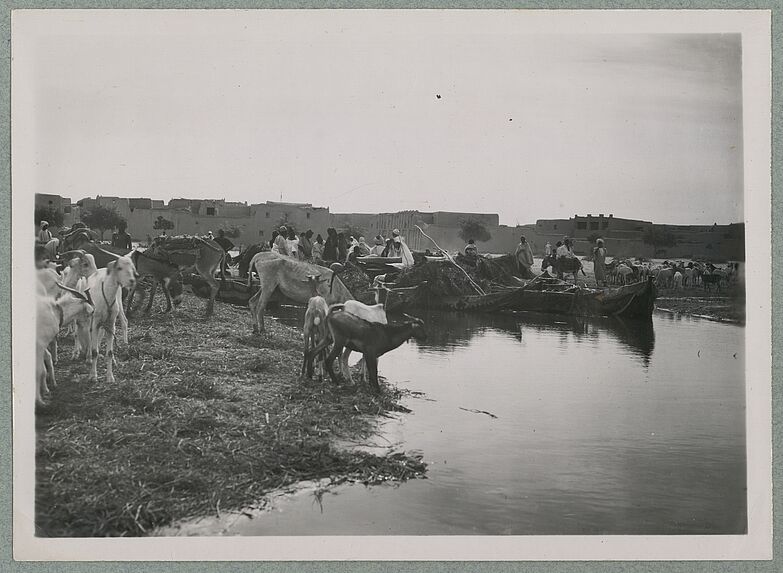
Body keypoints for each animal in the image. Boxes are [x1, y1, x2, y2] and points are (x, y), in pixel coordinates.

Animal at [86, 256, 138, 384]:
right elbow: (94, 351)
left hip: (117, 307)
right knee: (89, 333)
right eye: (119, 268)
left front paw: (110, 377)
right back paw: (89, 357)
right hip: (91, 317)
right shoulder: (95, 322)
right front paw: (93, 376)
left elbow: (109, 352)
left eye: (132, 267)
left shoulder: (110, 323)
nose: (132, 281)